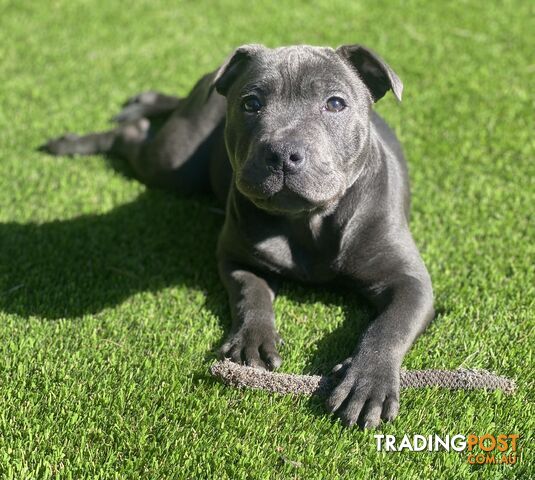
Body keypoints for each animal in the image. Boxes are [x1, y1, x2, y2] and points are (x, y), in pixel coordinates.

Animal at [42, 44, 436, 428]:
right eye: (251, 103)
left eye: (336, 103)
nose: (281, 152)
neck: (306, 221)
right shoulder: (236, 257)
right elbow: (251, 294)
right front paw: (253, 340)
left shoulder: (410, 282)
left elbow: (389, 326)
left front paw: (368, 381)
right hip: (172, 164)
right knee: (131, 137)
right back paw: (75, 141)